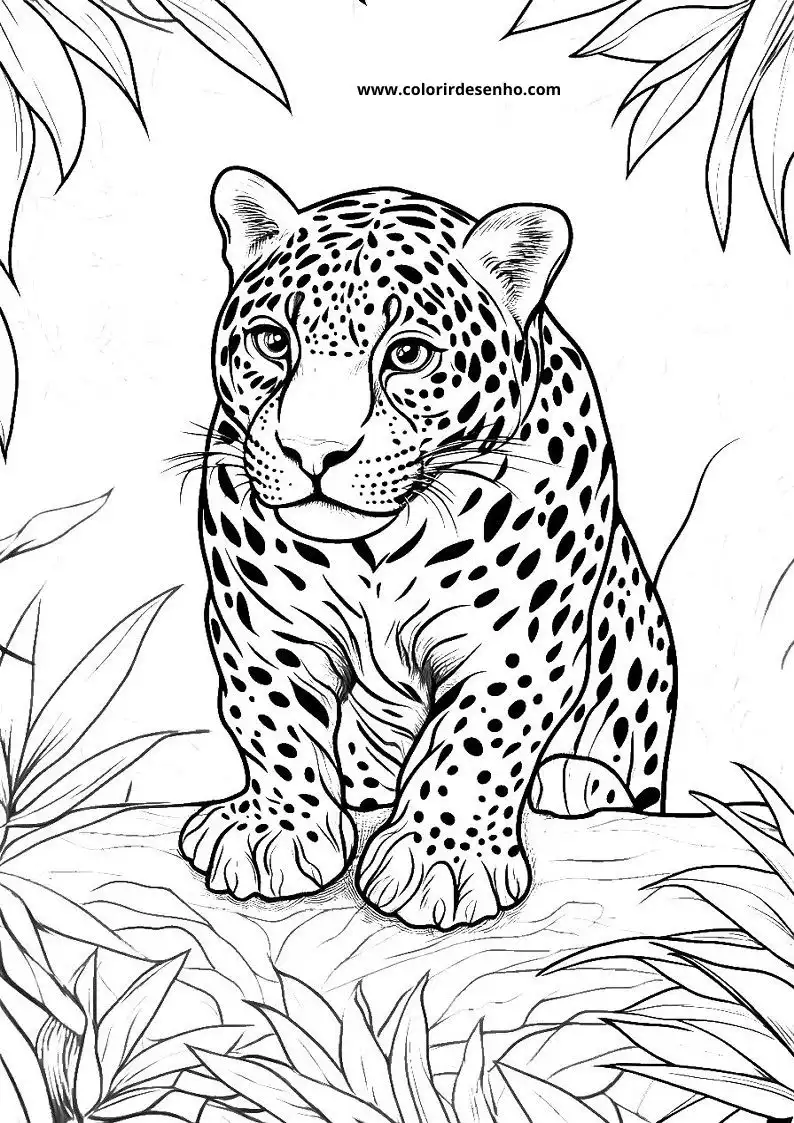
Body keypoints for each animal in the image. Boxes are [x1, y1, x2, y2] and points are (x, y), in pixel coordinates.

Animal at [179, 168, 677, 930]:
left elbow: (477, 741)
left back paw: (577, 777)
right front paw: (275, 832)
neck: (375, 545)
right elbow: (272, 720)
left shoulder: (516, 643)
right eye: (271, 341)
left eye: (409, 354)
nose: (312, 450)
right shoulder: (263, 627)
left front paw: (442, 862)